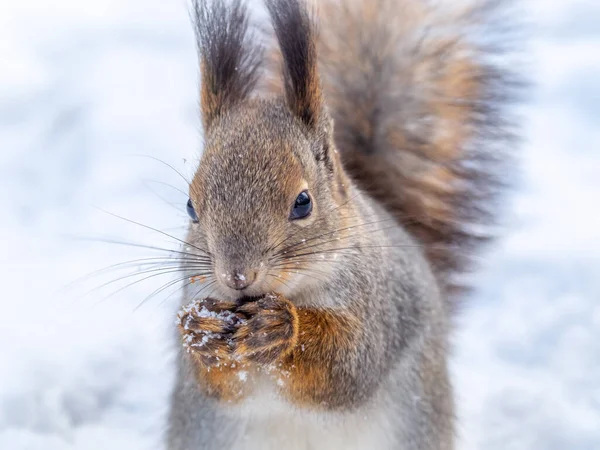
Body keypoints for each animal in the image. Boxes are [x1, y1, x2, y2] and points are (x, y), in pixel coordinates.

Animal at [166, 0, 516, 450]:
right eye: (191, 207)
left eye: (303, 203)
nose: (237, 277)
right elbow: (216, 385)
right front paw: (202, 332)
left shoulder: (378, 303)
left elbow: (347, 367)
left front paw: (283, 329)